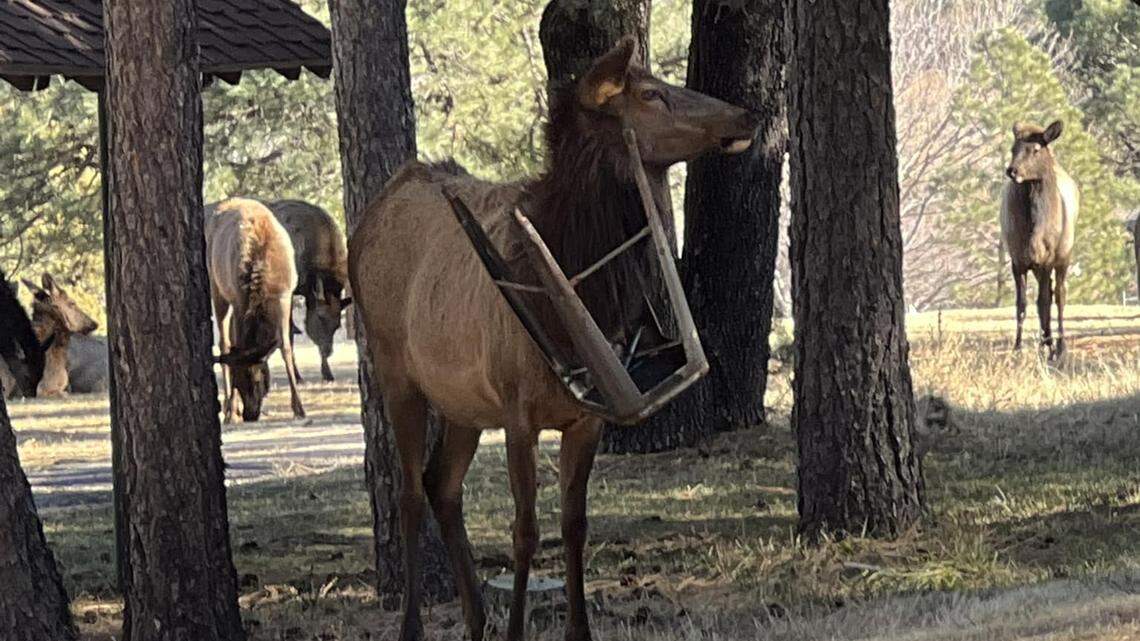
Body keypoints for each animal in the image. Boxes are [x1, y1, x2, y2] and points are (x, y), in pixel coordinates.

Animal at [206, 198, 305, 423]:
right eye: (237, 380)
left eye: (260, 379)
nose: (250, 414)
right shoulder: (238, 299)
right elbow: (234, 346)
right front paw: (231, 408)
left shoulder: (285, 295)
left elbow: (285, 346)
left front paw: (299, 408)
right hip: (217, 286)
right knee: (224, 342)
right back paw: (229, 411)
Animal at [348, 37, 759, 641]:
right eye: (650, 93)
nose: (745, 114)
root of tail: (362, 229)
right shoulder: (517, 409)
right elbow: (525, 529)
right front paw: (519, 627)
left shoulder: (585, 417)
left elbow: (575, 524)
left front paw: (579, 629)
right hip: (395, 371)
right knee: (408, 492)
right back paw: (414, 627)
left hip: (463, 404)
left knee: (441, 484)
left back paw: (477, 619)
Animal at [1001, 120, 1080, 360]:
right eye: (1013, 148)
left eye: (1035, 149)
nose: (1012, 170)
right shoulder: (1018, 259)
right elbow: (1022, 303)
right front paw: (1017, 348)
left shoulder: (1047, 259)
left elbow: (1044, 300)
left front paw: (1049, 346)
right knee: (1047, 295)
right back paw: (1049, 341)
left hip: (1064, 256)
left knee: (1059, 295)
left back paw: (1060, 345)